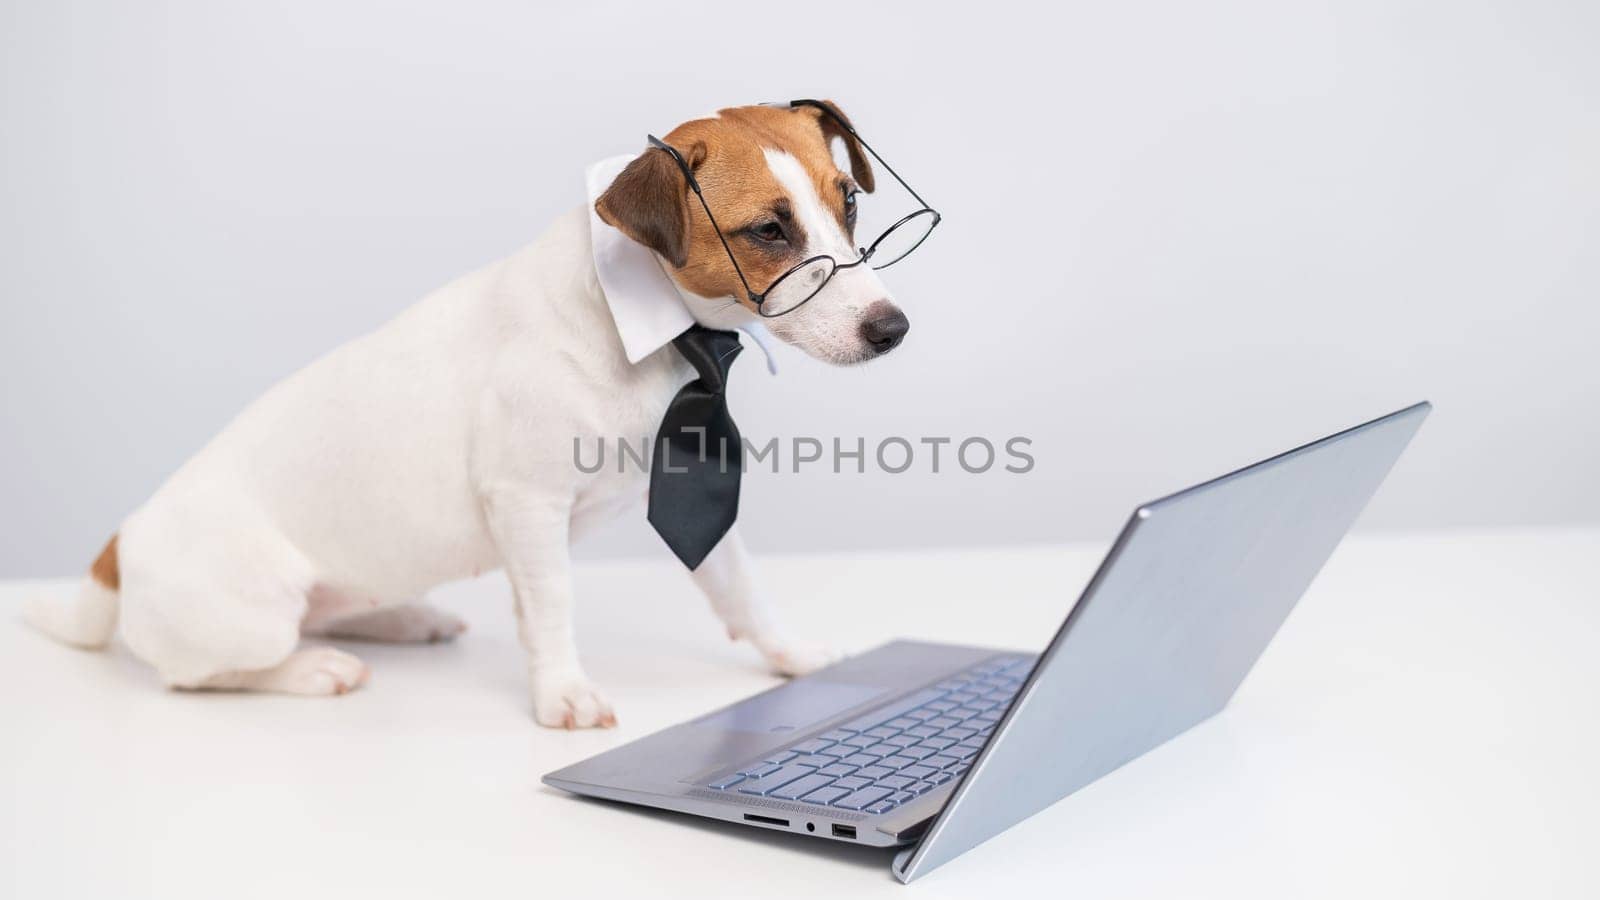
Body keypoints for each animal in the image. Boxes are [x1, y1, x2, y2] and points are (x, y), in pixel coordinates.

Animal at [21, 99, 915, 730]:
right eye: (767, 229)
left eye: (850, 207)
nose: (892, 329)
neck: (650, 326)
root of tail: (119, 548)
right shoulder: (528, 504)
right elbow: (553, 607)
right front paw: (563, 692)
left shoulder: (693, 488)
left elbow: (739, 588)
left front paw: (789, 653)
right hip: (250, 617)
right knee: (201, 674)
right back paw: (313, 669)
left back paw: (402, 618)